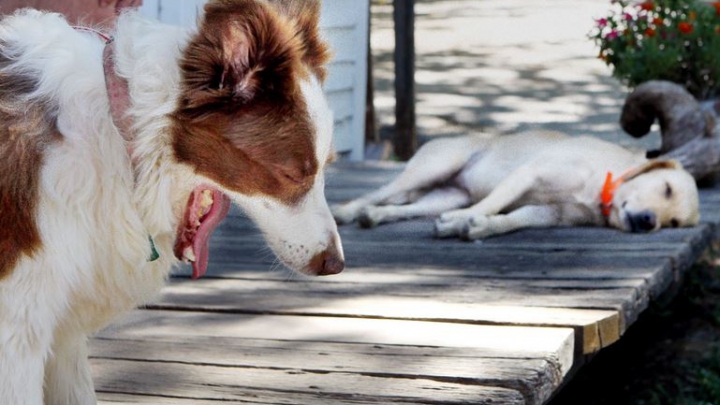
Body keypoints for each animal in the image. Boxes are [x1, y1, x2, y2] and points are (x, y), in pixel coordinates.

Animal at [0, 1, 344, 402]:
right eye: (292, 175)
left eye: (325, 166)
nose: (335, 264)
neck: (123, 131)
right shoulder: (19, 325)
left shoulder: (60, 325)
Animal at [334, 132, 700, 240]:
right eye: (666, 188)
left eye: (673, 223)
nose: (649, 222)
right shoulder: (527, 175)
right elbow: (491, 204)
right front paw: (463, 222)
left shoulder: (547, 214)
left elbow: (510, 220)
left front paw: (478, 227)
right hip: (433, 167)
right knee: (380, 193)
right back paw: (347, 211)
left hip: (446, 196)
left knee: (402, 208)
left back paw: (374, 217)